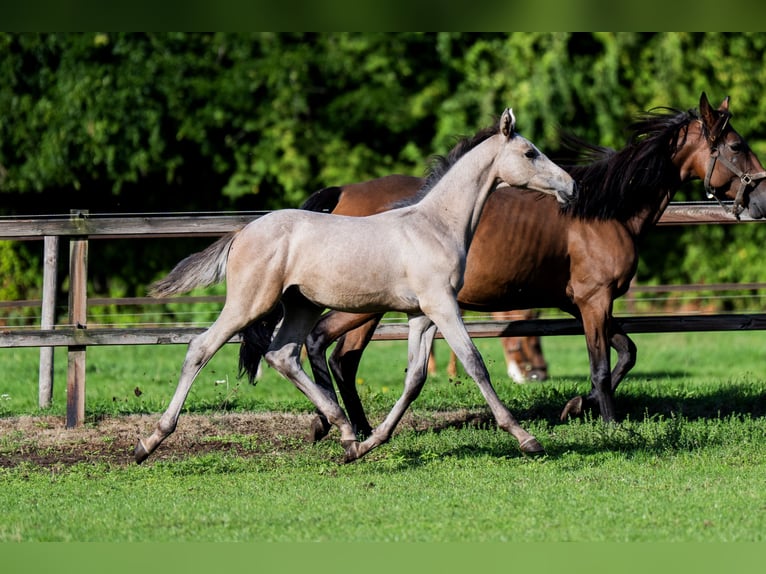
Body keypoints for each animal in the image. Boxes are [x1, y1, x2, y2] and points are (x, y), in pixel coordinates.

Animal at [135, 108, 576, 464]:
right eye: (530, 153)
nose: (570, 187)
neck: (434, 226)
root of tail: (243, 232)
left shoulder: (420, 315)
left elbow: (415, 378)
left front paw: (369, 443)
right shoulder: (442, 306)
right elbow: (475, 363)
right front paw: (526, 438)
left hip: (302, 306)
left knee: (283, 355)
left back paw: (345, 431)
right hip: (251, 302)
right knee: (202, 348)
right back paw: (149, 442)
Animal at [290, 92, 766, 442]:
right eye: (737, 146)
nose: (761, 201)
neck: (604, 210)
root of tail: (342, 192)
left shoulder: (580, 304)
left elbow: (626, 352)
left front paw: (576, 406)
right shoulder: (594, 300)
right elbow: (601, 365)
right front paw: (610, 424)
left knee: (334, 352)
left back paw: (345, 425)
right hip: (366, 305)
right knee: (331, 350)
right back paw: (345, 425)